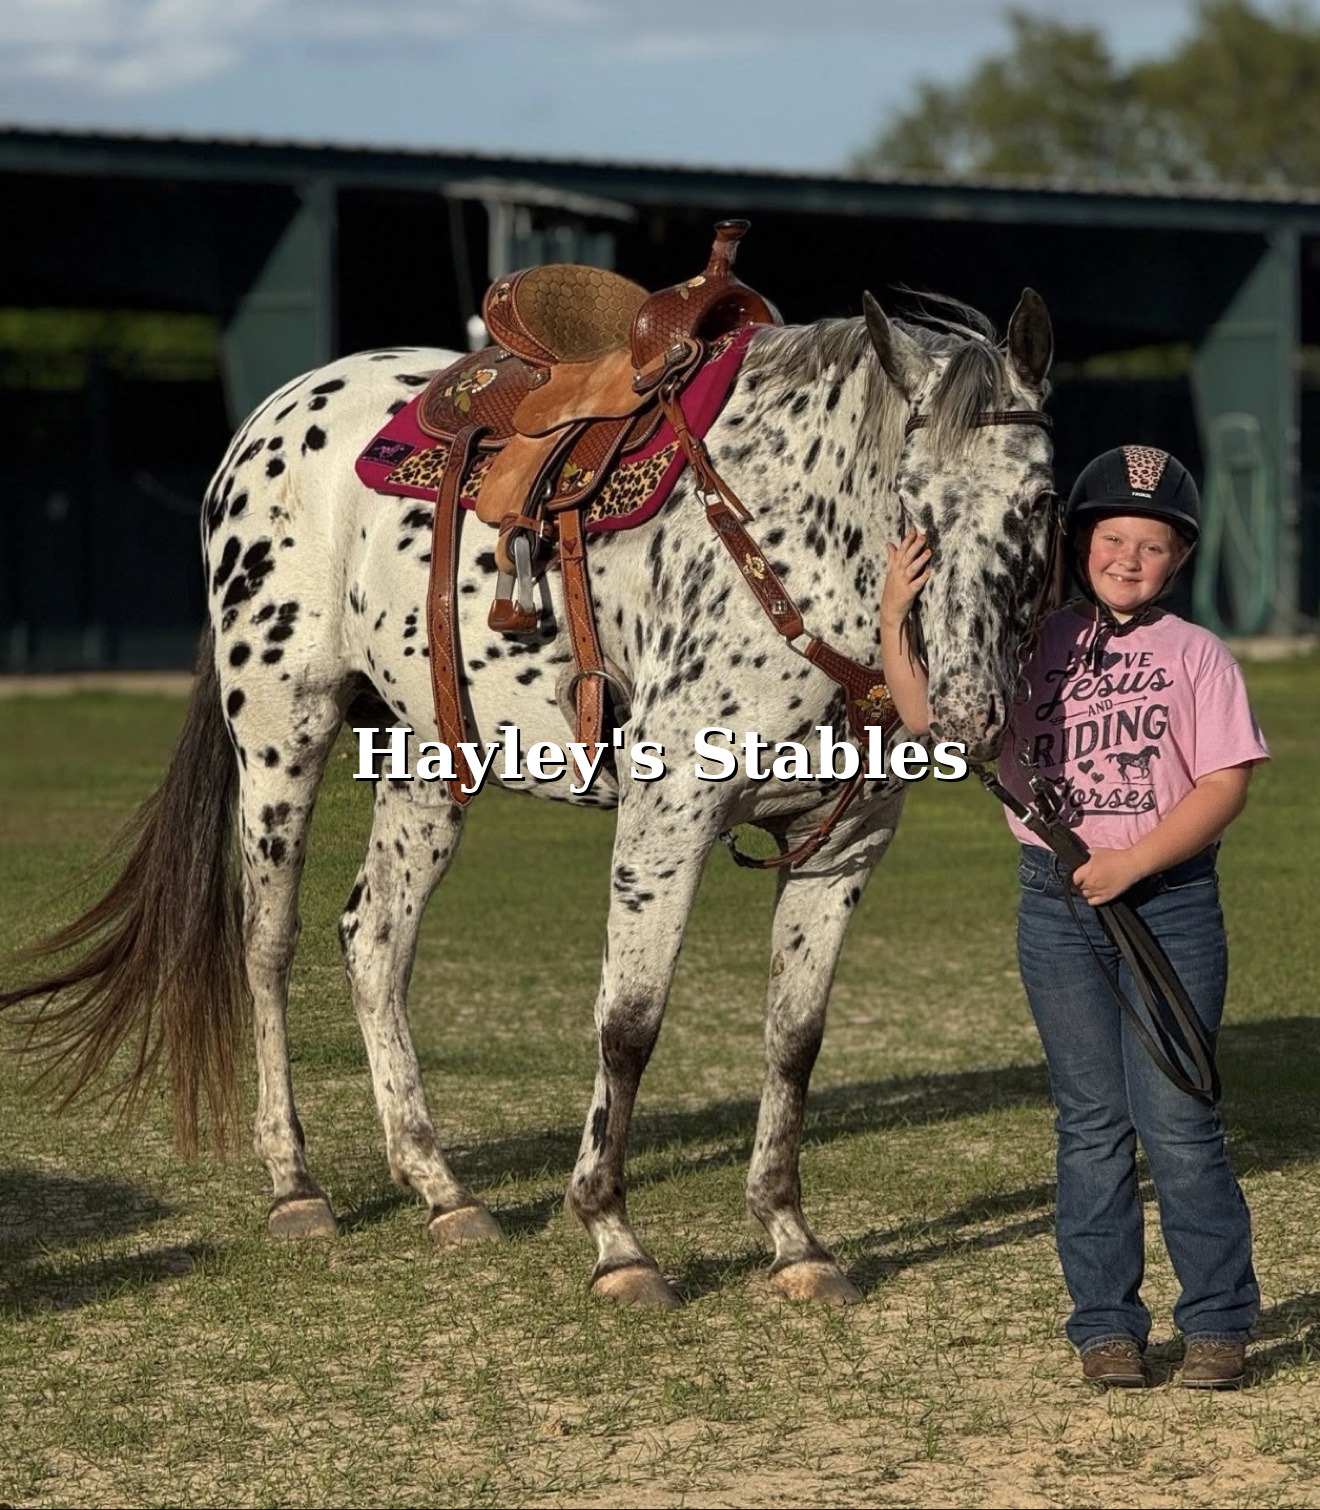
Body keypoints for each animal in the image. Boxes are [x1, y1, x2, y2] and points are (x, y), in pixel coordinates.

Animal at [2, 286, 1055, 1308]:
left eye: (1041, 500)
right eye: (908, 498)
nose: (966, 709)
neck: (783, 547)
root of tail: (273, 415)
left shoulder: (843, 847)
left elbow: (794, 1038)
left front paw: (792, 1238)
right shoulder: (667, 819)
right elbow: (629, 1024)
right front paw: (614, 1238)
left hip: (426, 758)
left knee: (375, 938)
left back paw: (439, 1186)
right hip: (278, 735)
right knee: (268, 943)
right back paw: (295, 1186)